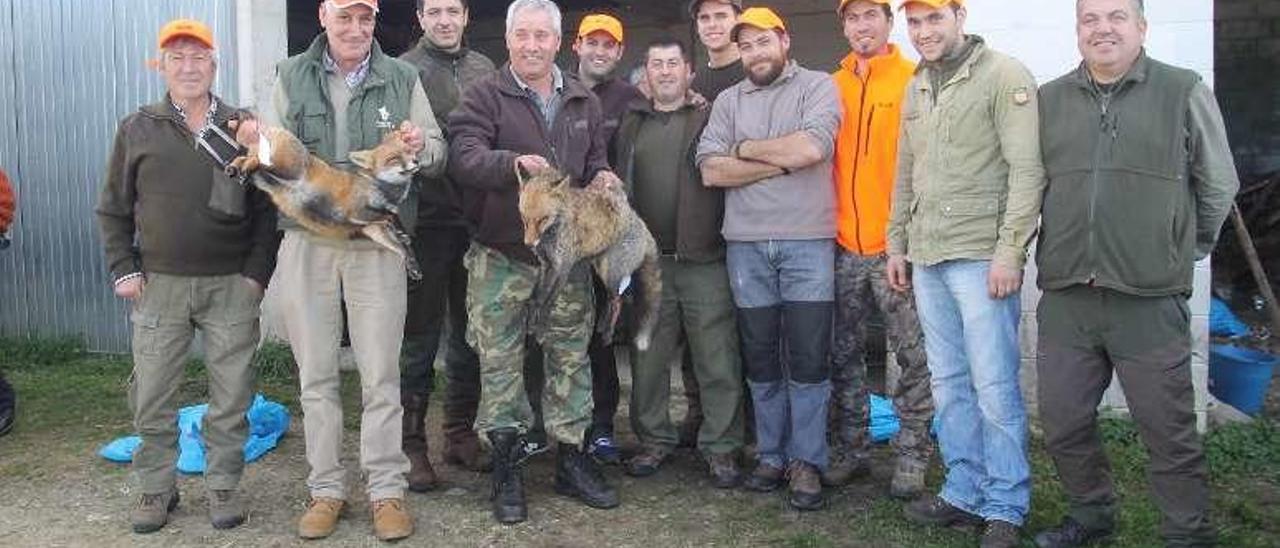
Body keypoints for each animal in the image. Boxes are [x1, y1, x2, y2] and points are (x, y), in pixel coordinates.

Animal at [221, 124, 419, 277]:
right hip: (284, 170)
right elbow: (390, 218)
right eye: (394, 159)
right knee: (257, 160)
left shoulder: (372, 229)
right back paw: (247, 164)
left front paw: (411, 263)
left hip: (265, 178)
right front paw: (402, 234)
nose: (416, 161)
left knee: (245, 159)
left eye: (409, 151)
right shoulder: (355, 212)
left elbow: (398, 246)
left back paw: (235, 167)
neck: (382, 189)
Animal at [517, 165, 660, 350]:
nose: (529, 245)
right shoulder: (545, 265)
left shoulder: (562, 268)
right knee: (610, 300)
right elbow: (537, 298)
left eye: (543, 219)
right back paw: (601, 325)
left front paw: (540, 332)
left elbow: (548, 303)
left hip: (609, 272)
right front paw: (530, 325)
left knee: (618, 301)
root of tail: (640, 222)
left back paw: (608, 334)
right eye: (524, 218)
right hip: (601, 268)